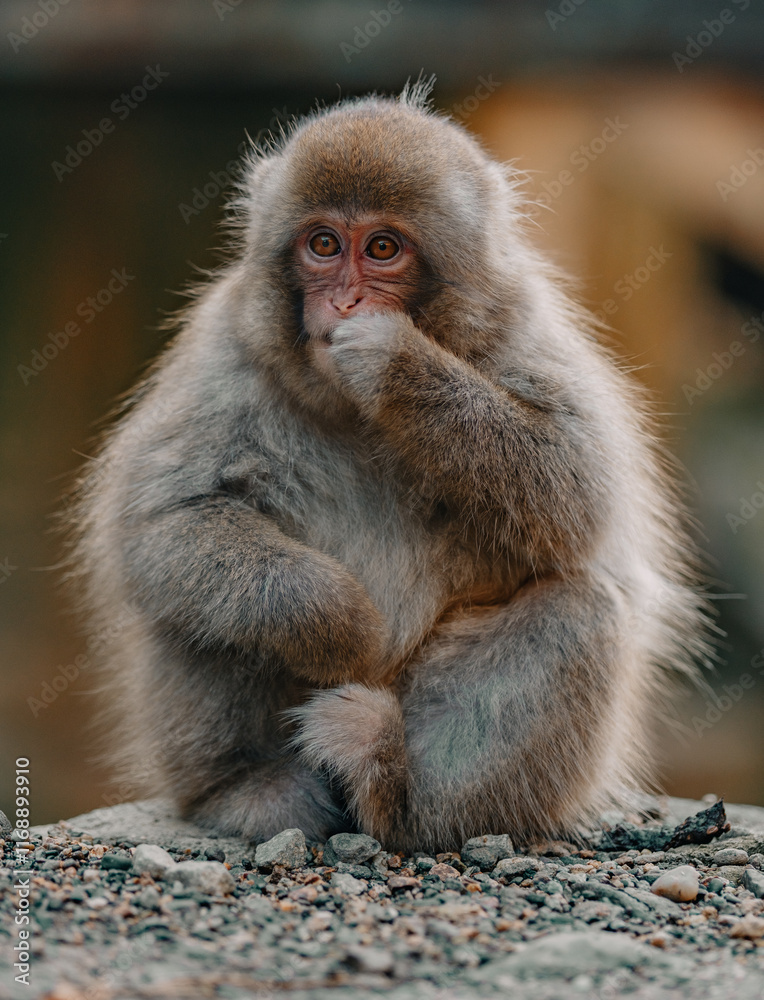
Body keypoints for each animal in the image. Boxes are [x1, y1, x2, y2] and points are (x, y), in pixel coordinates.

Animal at [70, 81, 709, 854]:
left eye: (382, 248)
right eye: (323, 244)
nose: (345, 301)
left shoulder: (519, 329)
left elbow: (579, 491)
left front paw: (395, 363)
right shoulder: (225, 352)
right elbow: (166, 522)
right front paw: (343, 625)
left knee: (581, 606)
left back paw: (402, 796)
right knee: (198, 605)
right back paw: (245, 789)